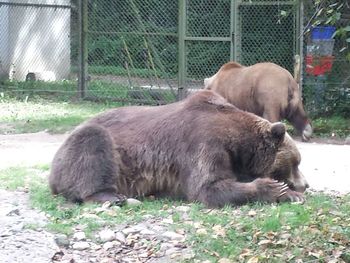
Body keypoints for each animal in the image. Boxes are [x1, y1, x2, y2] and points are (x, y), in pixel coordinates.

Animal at [50, 91, 308, 208]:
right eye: (295, 162)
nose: (305, 184)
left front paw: (290, 194)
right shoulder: (205, 143)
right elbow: (207, 187)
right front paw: (275, 188)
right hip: (88, 148)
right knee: (93, 144)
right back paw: (112, 196)